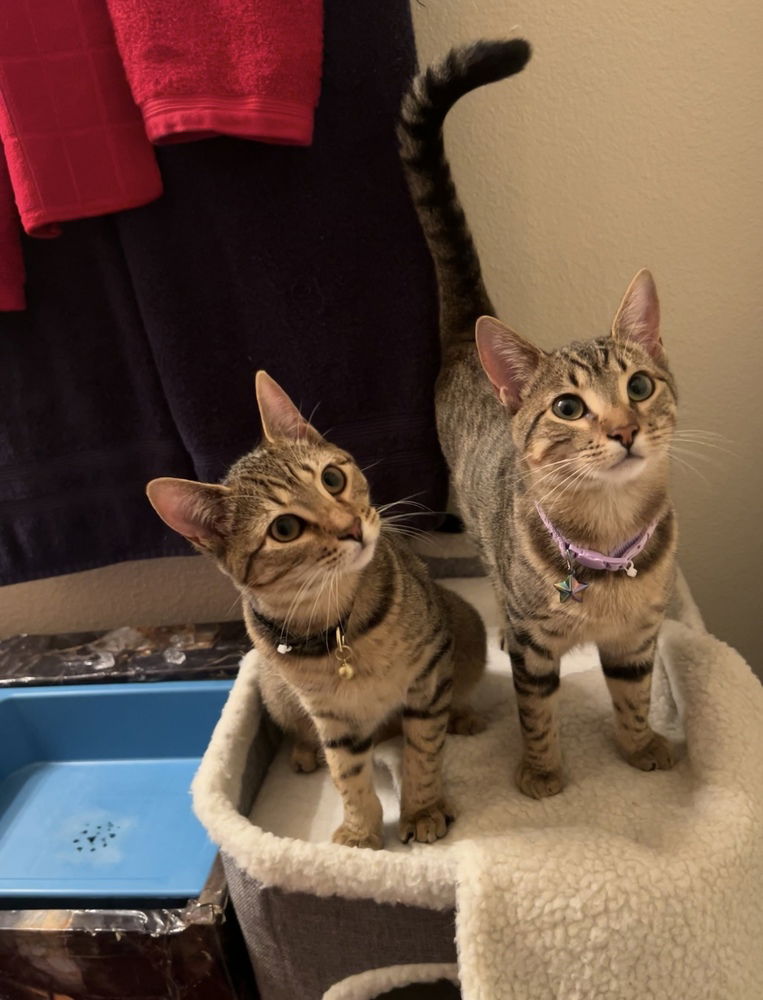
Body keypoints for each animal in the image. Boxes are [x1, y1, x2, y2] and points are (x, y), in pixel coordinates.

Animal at [146, 372, 486, 848]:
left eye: (332, 478)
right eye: (285, 528)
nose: (352, 528)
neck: (342, 626)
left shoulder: (428, 676)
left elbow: (422, 752)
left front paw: (423, 809)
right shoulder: (331, 715)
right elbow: (348, 774)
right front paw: (361, 831)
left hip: (467, 633)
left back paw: (462, 715)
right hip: (275, 689)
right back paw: (306, 752)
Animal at [396, 39, 676, 800]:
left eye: (640, 385)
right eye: (568, 407)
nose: (623, 430)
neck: (608, 534)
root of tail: (468, 336)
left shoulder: (639, 635)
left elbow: (634, 696)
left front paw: (642, 747)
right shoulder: (534, 644)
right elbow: (537, 711)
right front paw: (543, 772)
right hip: (476, 530)